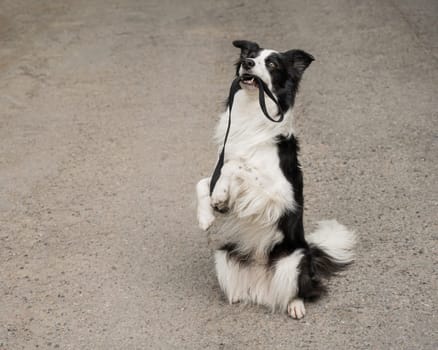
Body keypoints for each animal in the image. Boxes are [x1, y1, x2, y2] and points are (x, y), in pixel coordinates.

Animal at [197, 39, 354, 318]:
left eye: (271, 64)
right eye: (250, 55)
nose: (247, 63)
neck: (250, 113)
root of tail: (262, 286)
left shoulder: (281, 194)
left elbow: (235, 165)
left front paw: (220, 195)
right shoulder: (219, 166)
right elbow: (203, 182)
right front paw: (207, 214)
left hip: (295, 259)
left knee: (303, 290)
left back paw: (295, 305)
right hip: (225, 255)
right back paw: (237, 296)